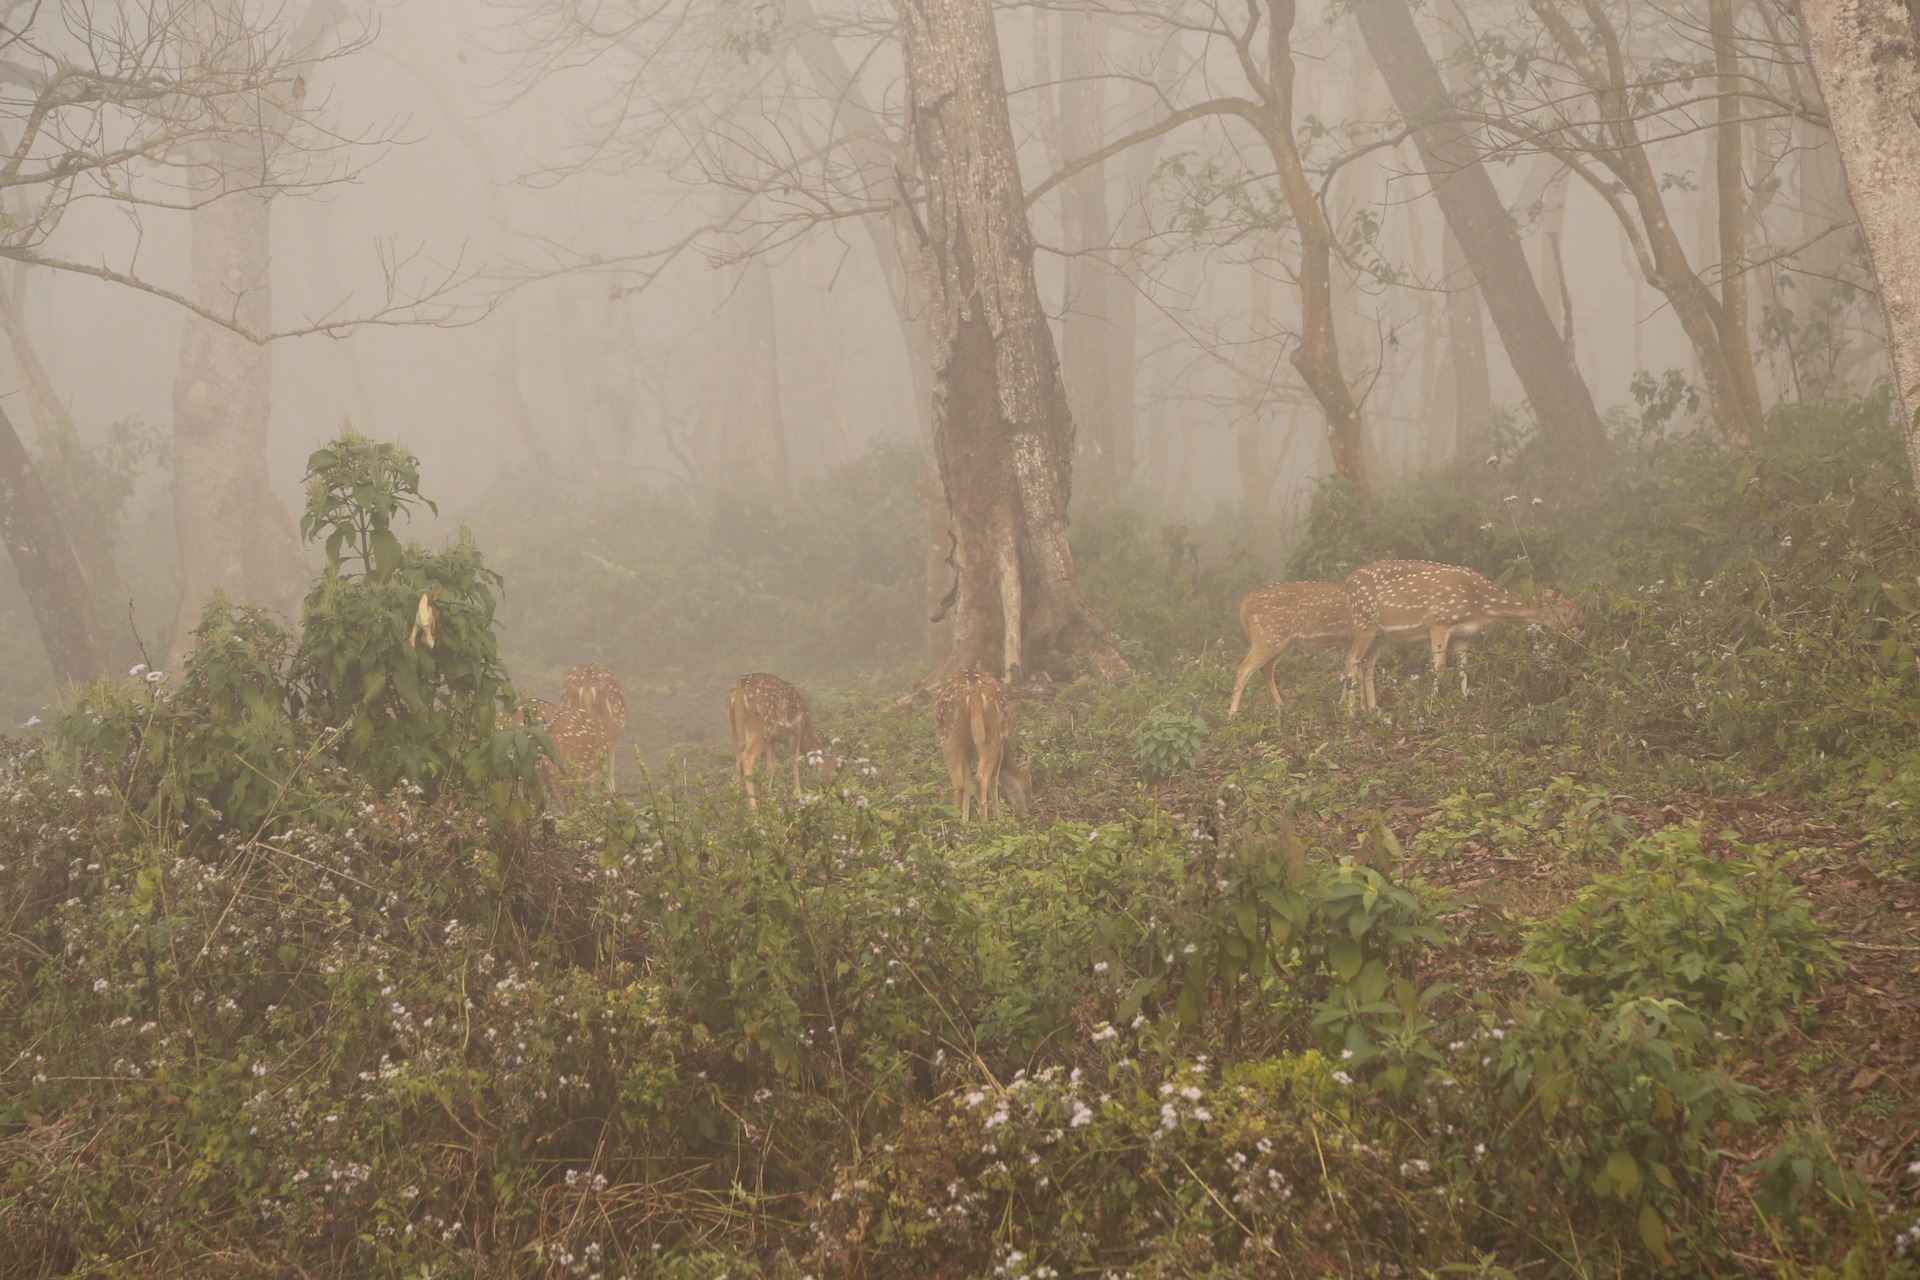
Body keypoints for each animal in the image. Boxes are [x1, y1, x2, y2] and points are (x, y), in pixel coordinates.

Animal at [721, 671, 837, 809]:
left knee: (738, 761)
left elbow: (771, 766)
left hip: (734, 728)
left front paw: (767, 797)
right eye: (834, 764)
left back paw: (735, 807)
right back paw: (753, 807)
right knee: (747, 756)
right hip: (763, 725)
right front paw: (799, 797)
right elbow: (795, 760)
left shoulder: (772, 740)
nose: (831, 786)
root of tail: (740, 692)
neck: (805, 728)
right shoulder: (795, 730)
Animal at [933, 671, 1036, 821]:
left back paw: (957, 822)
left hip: (950, 738)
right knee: (981, 778)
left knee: (959, 783)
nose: (1026, 811)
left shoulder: (967, 753)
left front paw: (965, 820)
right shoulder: (1000, 745)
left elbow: (968, 783)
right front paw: (998, 817)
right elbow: (994, 779)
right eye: (1029, 780)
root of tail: (973, 693)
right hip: (991, 735)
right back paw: (984, 822)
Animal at [1228, 579, 1367, 721]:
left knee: (1266, 668)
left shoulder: (1349, 642)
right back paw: (1232, 715)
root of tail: (1244, 605)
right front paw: (1356, 713)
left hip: (1281, 642)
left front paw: (1356, 709)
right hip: (1268, 637)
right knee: (1244, 667)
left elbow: (1354, 671)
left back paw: (1282, 708)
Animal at [1344, 560, 1582, 710]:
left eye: (1576, 612)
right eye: (1569, 615)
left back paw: (1372, 709)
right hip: (1363, 622)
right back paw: (1352, 712)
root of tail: (1348, 582)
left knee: (1367, 664)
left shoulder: (1463, 633)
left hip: (1384, 637)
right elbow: (1439, 665)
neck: (1480, 606)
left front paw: (1465, 698)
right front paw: (1433, 704)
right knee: (1351, 659)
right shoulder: (1439, 621)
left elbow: (1463, 665)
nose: (1581, 631)